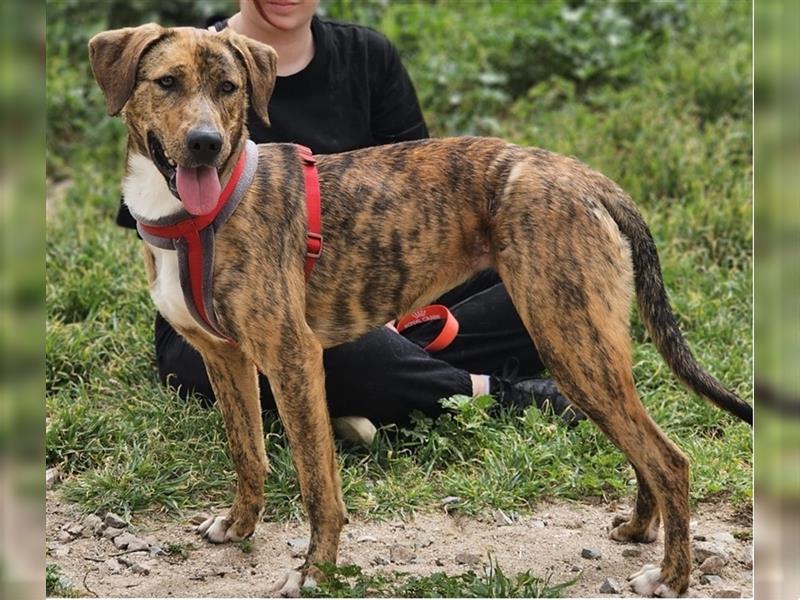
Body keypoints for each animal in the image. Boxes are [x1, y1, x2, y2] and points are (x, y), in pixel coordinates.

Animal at [90, 22, 752, 596]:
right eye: (167, 82)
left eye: (229, 88)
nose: (206, 144)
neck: (197, 213)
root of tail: (589, 178)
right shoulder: (227, 360)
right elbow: (248, 453)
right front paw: (240, 526)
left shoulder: (293, 358)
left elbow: (317, 484)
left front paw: (316, 572)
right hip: (584, 345)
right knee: (641, 447)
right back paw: (639, 528)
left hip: (569, 339)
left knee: (670, 459)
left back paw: (671, 575)